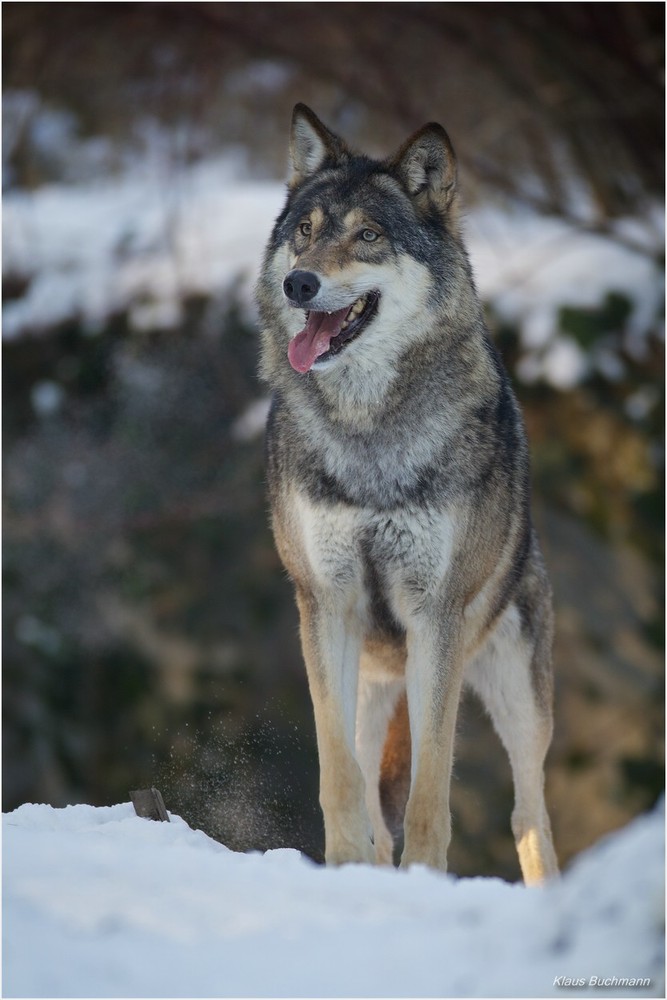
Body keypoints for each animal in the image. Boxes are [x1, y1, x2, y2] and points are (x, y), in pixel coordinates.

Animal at [256, 101, 560, 884]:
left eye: (367, 235)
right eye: (305, 231)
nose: (299, 283)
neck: (369, 432)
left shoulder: (436, 616)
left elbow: (431, 785)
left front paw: (427, 876)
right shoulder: (324, 604)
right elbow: (339, 776)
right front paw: (341, 868)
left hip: (518, 695)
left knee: (529, 815)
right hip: (371, 686)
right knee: (370, 788)